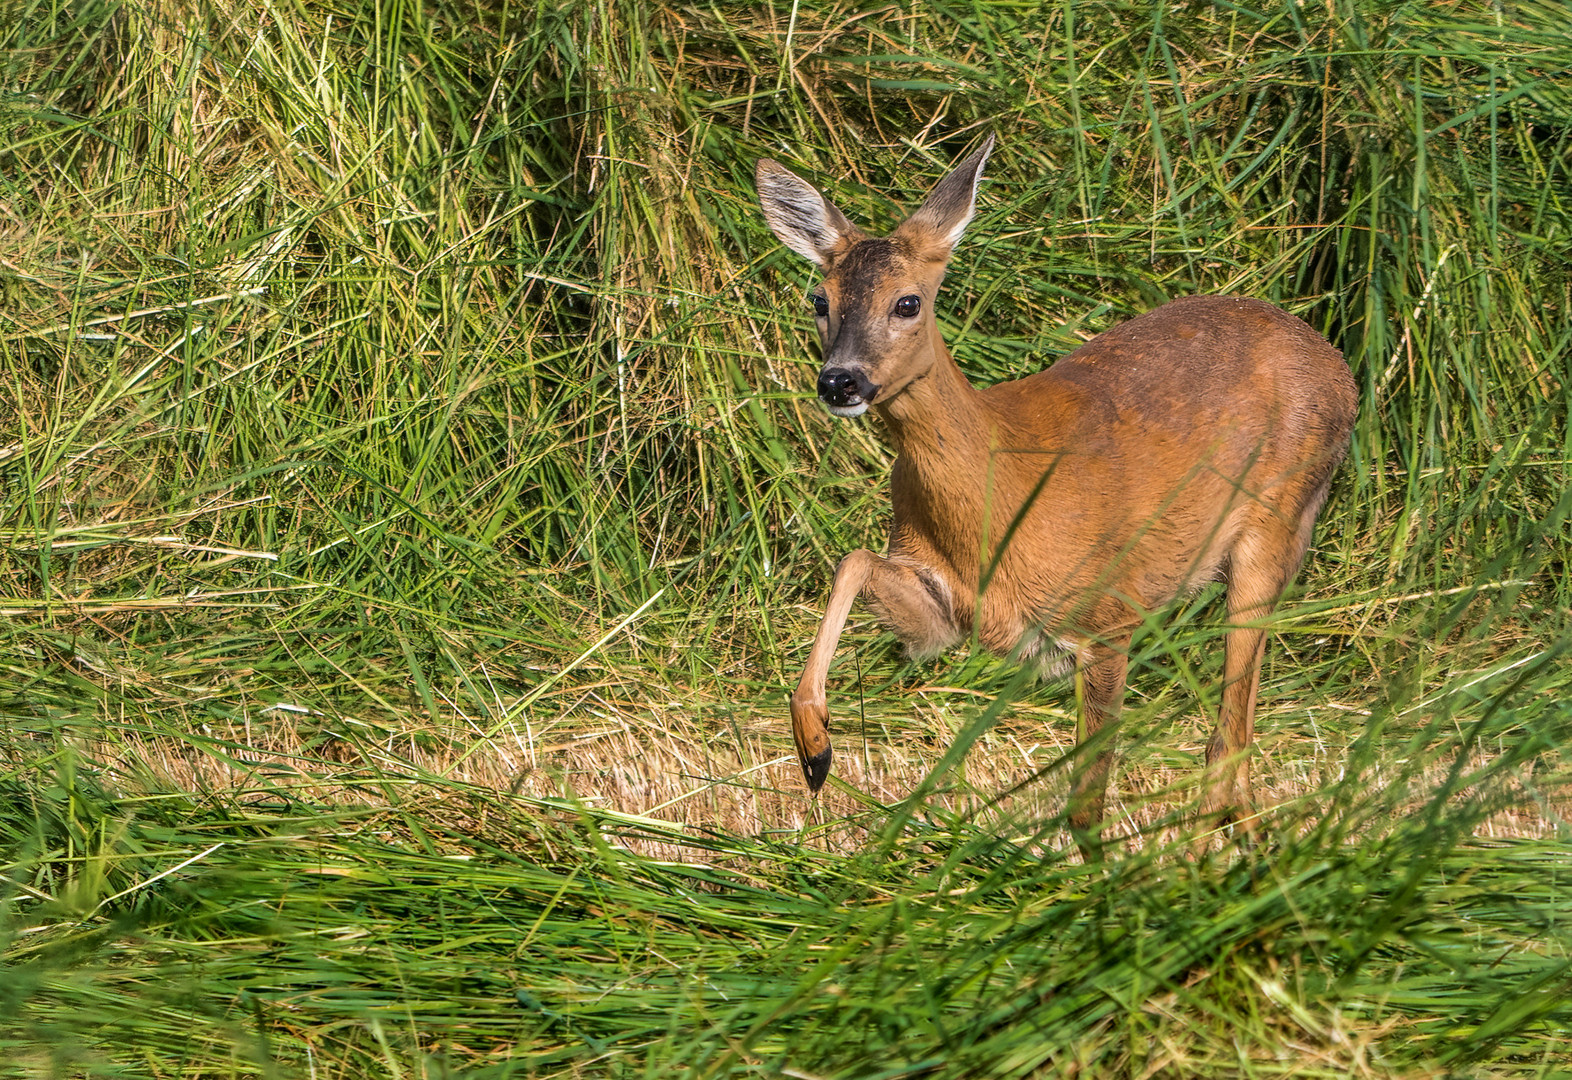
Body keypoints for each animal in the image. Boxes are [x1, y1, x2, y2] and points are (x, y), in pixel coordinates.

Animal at [754, 137, 1358, 855]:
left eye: (908, 302)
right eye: (820, 299)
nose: (840, 381)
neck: (1004, 492)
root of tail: (1341, 369)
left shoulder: (1110, 614)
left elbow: (1086, 804)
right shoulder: (952, 613)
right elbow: (853, 561)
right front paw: (814, 748)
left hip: (1275, 522)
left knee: (1228, 736)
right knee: (1233, 748)